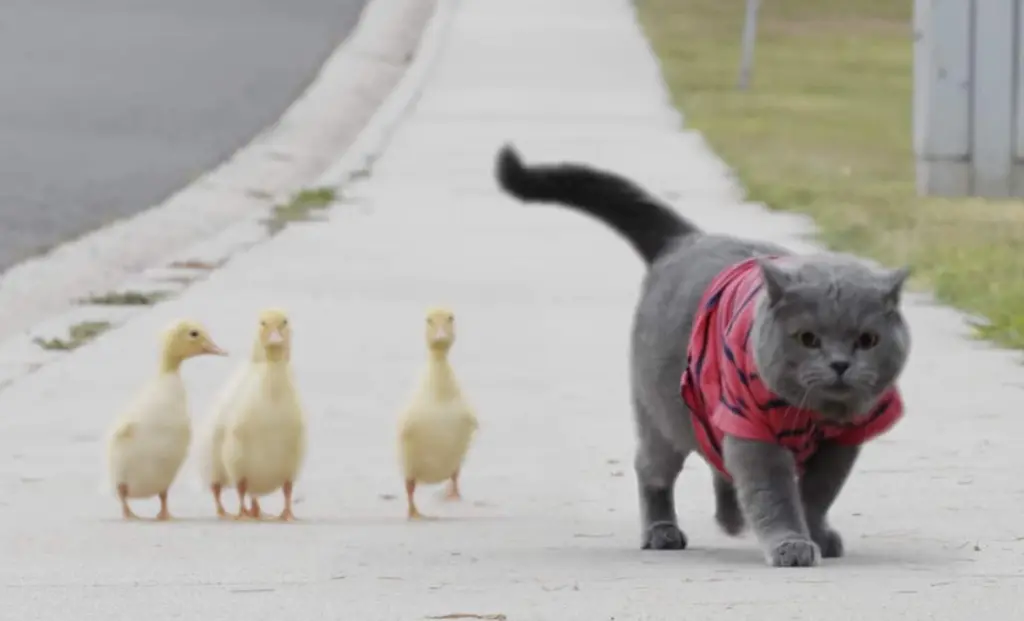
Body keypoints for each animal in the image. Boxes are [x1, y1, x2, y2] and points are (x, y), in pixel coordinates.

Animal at [493, 144, 911, 567]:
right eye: (808, 338)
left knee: (718, 463)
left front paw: (816, 535)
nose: (840, 364)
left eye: (867, 340)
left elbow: (818, 492)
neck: (813, 416)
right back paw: (663, 532)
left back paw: (732, 519)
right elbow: (774, 494)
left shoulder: (843, 441)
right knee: (653, 469)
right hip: (662, 414)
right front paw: (791, 544)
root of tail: (685, 240)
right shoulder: (752, 430)